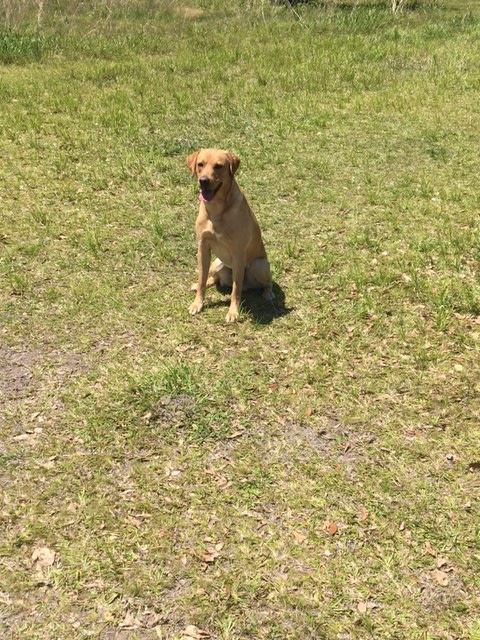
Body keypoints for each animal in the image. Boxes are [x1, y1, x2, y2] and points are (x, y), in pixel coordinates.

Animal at [186, 148, 274, 323]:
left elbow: (236, 289)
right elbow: (201, 278)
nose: (203, 181)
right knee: (215, 279)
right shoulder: (203, 247)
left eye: (219, 166)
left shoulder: (238, 252)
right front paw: (197, 303)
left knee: (265, 282)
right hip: (217, 264)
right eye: (200, 164)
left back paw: (268, 293)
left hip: (259, 265)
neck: (216, 210)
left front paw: (233, 312)